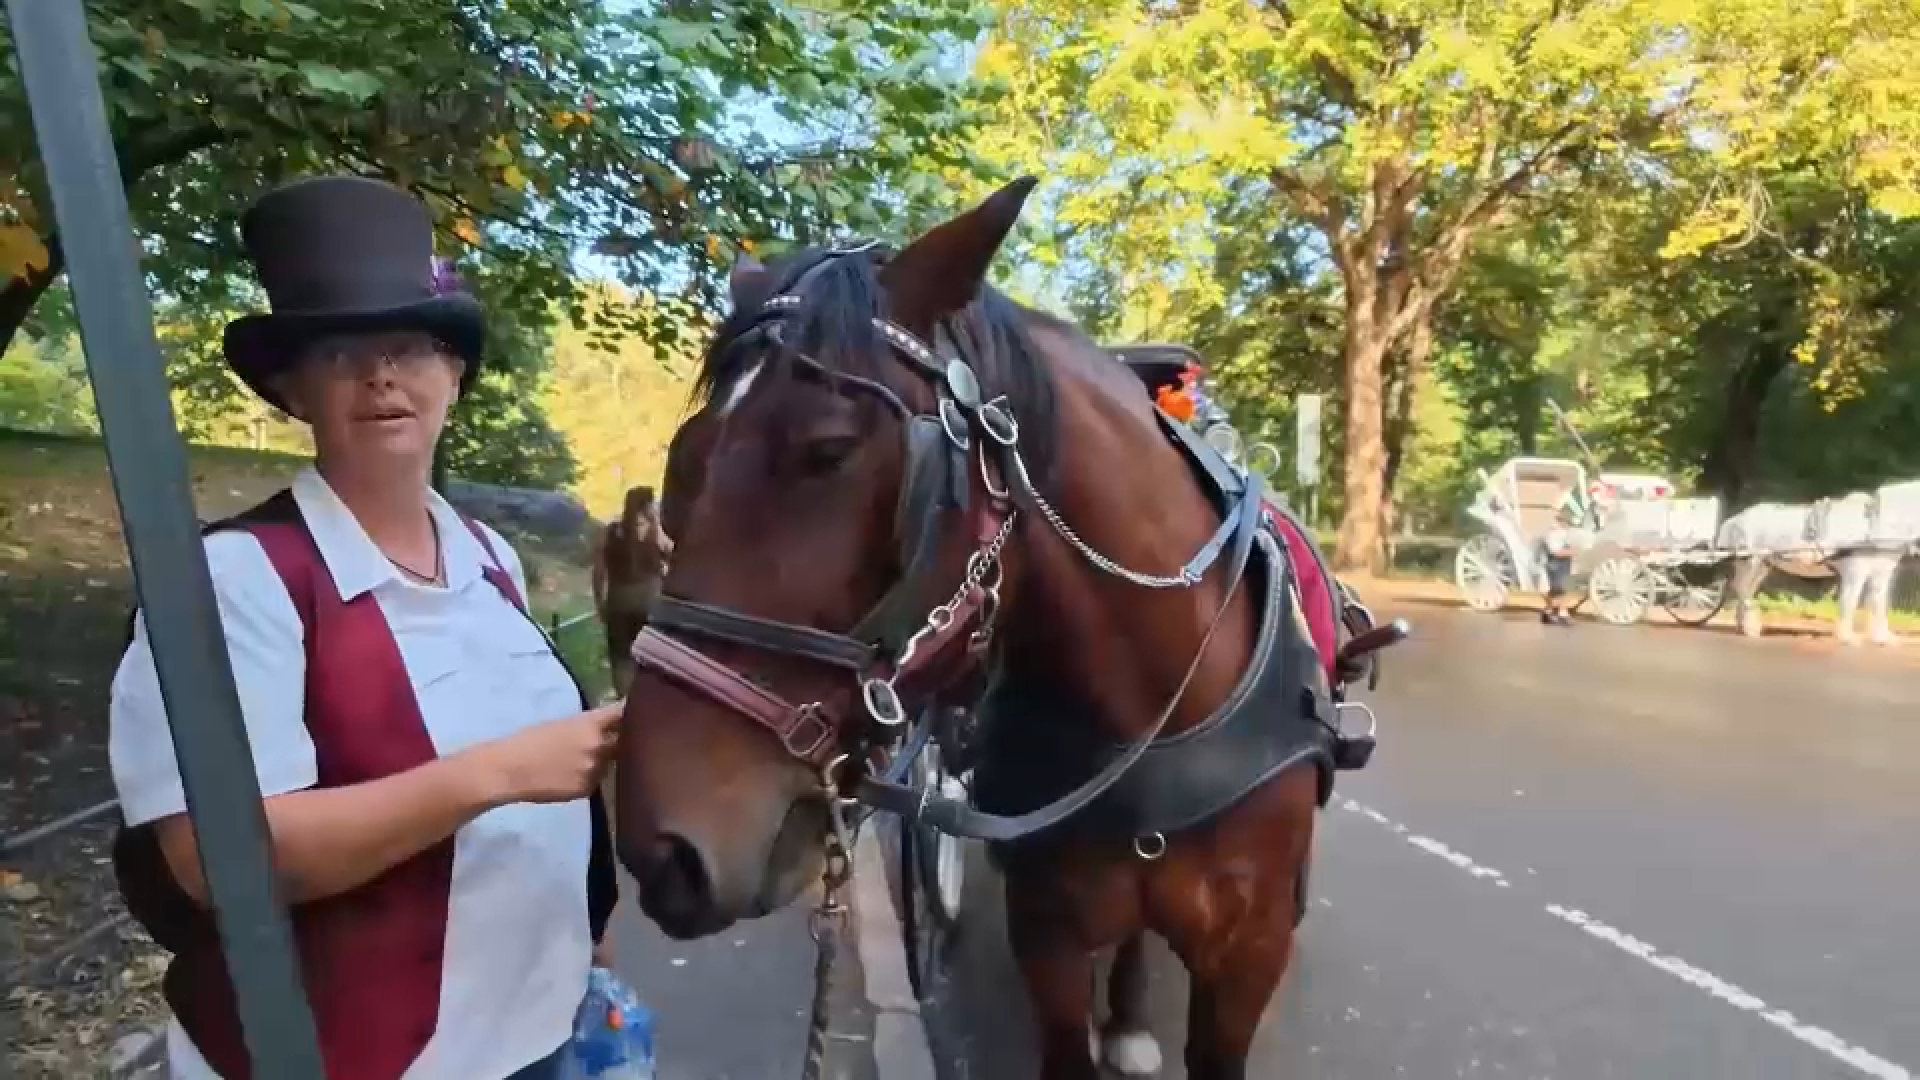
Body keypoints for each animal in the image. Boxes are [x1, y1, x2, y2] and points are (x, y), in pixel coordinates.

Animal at [614, 178, 1389, 1080]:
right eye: (686, 457)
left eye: (830, 450)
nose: (663, 851)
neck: (1158, 712)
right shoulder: (1048, 932)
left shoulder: (1248, 953)